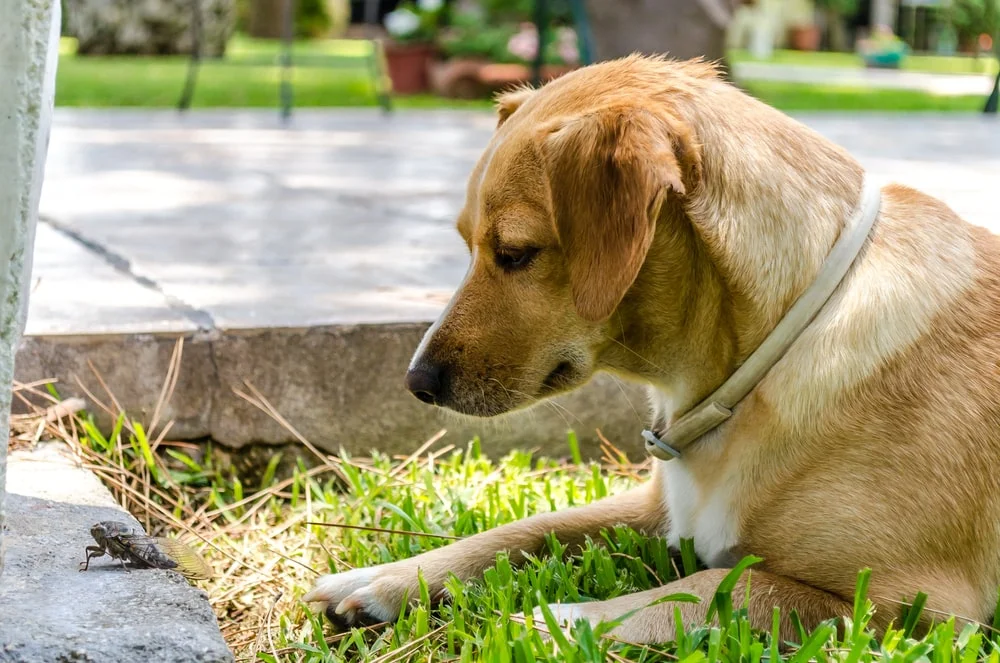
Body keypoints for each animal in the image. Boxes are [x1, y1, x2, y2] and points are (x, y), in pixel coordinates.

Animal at [302, 54, 1000, 644]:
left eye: (516, 253)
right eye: (468, 244)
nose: (417, 382)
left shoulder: (912, 608)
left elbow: (720, 585)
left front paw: (562, 619)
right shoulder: (653, 509)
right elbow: (527, 528)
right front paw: (395, 576)